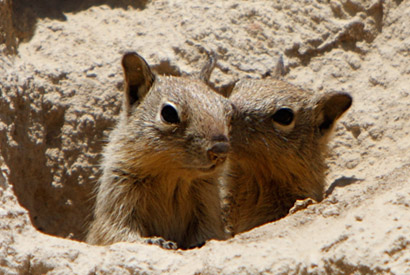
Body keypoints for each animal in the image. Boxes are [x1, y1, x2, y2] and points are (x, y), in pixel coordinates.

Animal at [87, 52, 232, 250]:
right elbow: (117, 232)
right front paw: (155, 240)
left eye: (228, 109)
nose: (221, 149)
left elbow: (210, 232)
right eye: (168, 113)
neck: (172, 176)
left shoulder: (207, 203)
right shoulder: (118, 195)